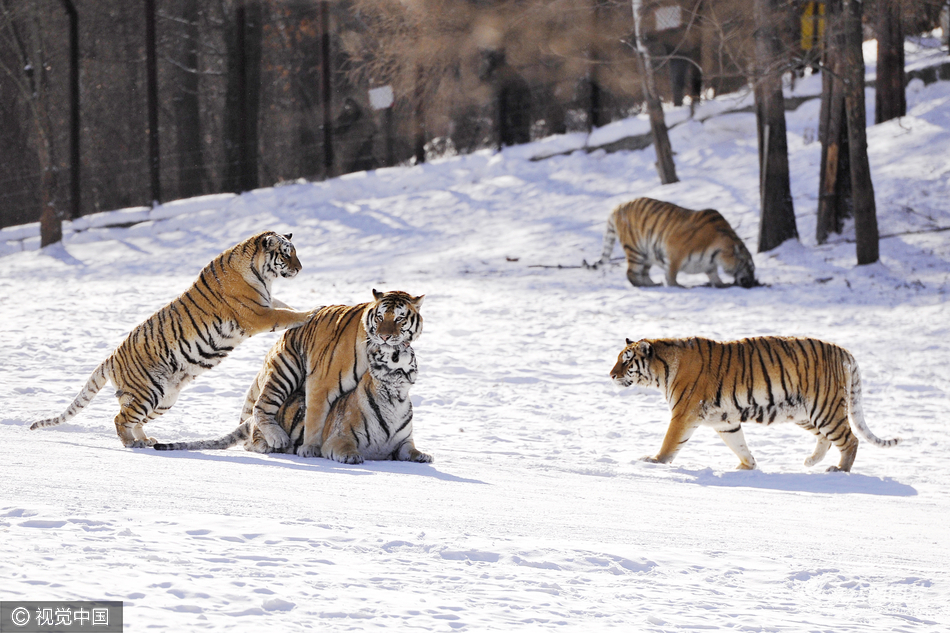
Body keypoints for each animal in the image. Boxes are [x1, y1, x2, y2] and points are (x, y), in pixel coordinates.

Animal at [28, 230, 312, 446]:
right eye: (286, 253)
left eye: (295, 252)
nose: (300, 269)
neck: (261, 273)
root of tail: (110, 358)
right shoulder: (257, 314)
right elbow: (286, 314)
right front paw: (310, 313)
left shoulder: (266, 303)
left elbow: (286, 306)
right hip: (147, 393)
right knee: (119, 418)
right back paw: (131, 443)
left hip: (164, 400)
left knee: (134, 420)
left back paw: (146, 440)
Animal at [156, 340, 436, 464]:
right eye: (394, 349)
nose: (406, 346)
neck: (396, 396)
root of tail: (250, 421)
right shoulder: (339, 437)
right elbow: (347, 448)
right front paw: (353, 458)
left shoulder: (403, 442)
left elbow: (411, 450)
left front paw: (425, 456)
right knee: (253, 442)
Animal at [596, 198, 760, 288]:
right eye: (750, 267)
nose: (753, 282)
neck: (718, 253)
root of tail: (618, 207)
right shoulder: (674, 251)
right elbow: (671, 274)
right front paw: (677, 286)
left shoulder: (709, 263)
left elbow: (713, 274)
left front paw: (721, 284)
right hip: (636, 249)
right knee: (631, 273)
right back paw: (646, 286)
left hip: (648, 253)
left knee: (643, 272)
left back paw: (654, 284)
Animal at [612, 336, 904, 470]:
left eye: (627, 360)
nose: (611, 375)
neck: (661, 370)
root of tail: (845, 352)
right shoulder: (725, 420)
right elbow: (738, 444)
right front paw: (747, 466)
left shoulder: (683, 414)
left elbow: (670, 442)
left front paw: (653, 461)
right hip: (804, 413)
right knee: (827, 438)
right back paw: (811, 461)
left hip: (825, 409)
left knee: (850, 440)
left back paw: (839, 470)